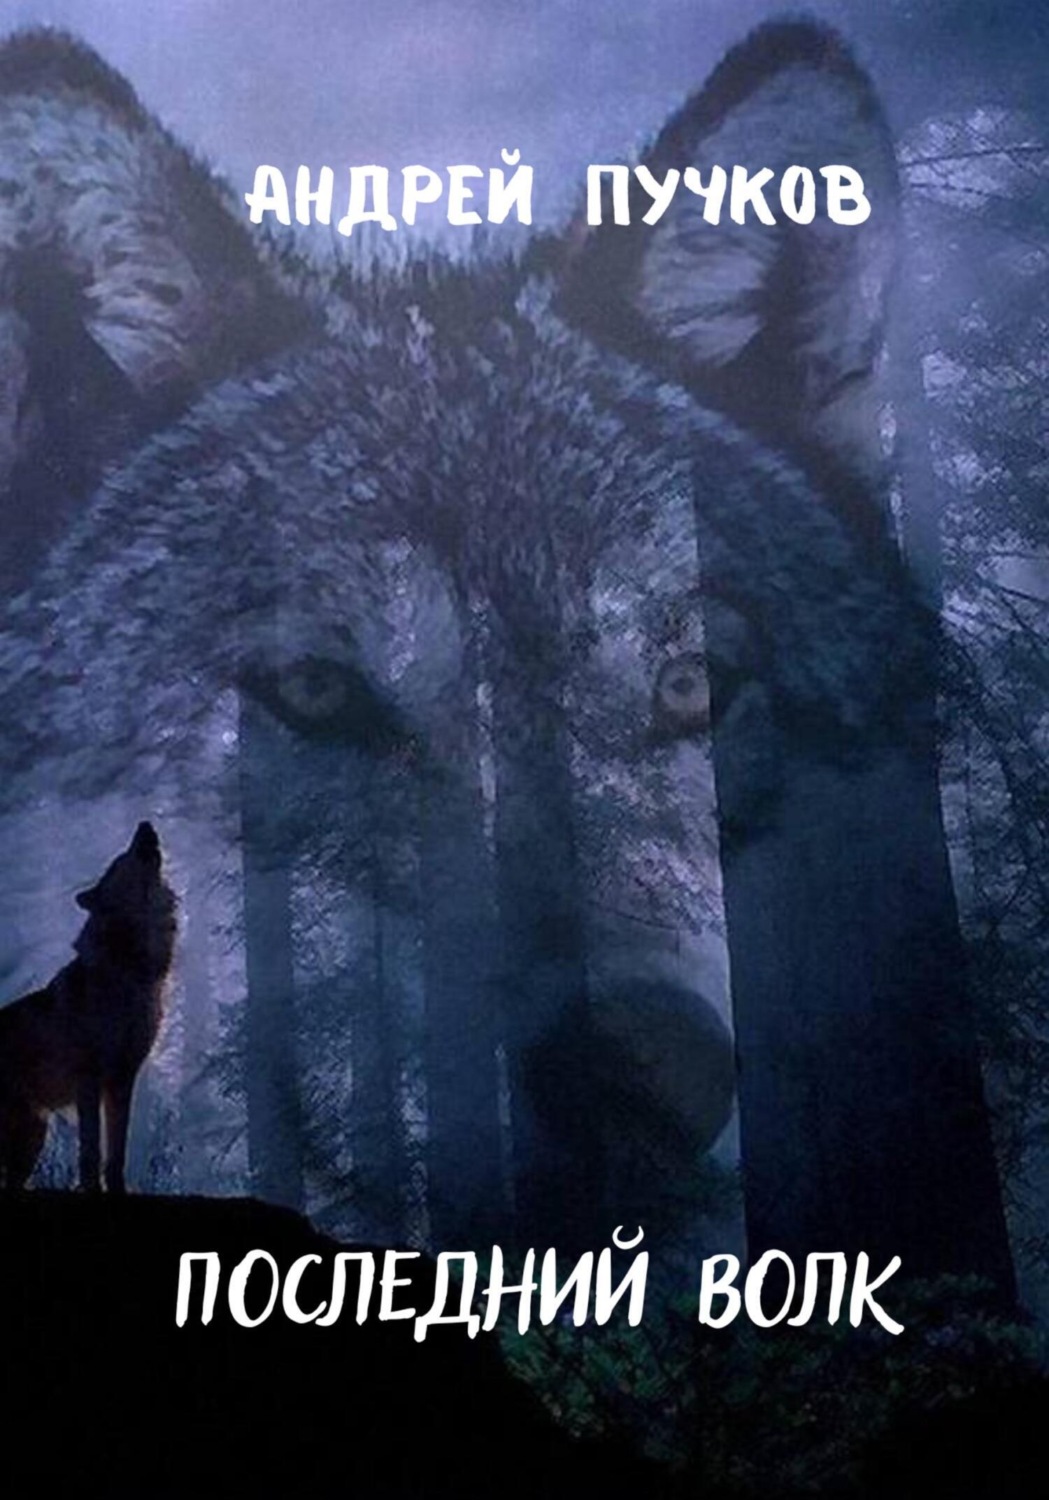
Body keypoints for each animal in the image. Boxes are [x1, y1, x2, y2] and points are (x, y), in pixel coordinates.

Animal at [0, 822, 177, 1192]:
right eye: (118, 861)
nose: (145, 824)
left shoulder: (122, 1080)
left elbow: (116, 1153)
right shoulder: (89, 1082)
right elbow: (91, 1152)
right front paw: (92, 1189)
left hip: (31, 1139)